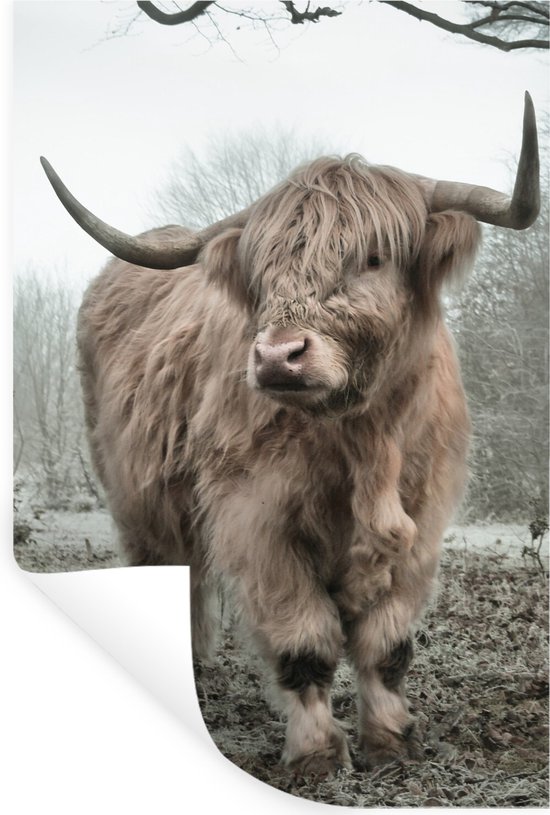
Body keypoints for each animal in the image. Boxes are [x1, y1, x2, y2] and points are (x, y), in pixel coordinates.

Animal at [41, 93, 539, 776]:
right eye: (264, 271)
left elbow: (387, 646)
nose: (278, 357)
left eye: (373, 258)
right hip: (136, 496)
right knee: (172, 568)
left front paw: (392, 742)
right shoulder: (258, 521)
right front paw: (318, 756)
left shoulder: (423, 520)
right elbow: (305, 643)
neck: (364, 440)